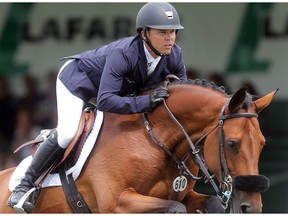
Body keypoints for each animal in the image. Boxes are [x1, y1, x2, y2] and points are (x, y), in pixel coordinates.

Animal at [0, 79, 276, 213]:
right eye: (231, 144)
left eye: (262, 144)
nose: (251, 208)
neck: (155, 139)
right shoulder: (117, 203)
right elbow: (175, 209)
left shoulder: (185, 195)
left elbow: (210, 204)